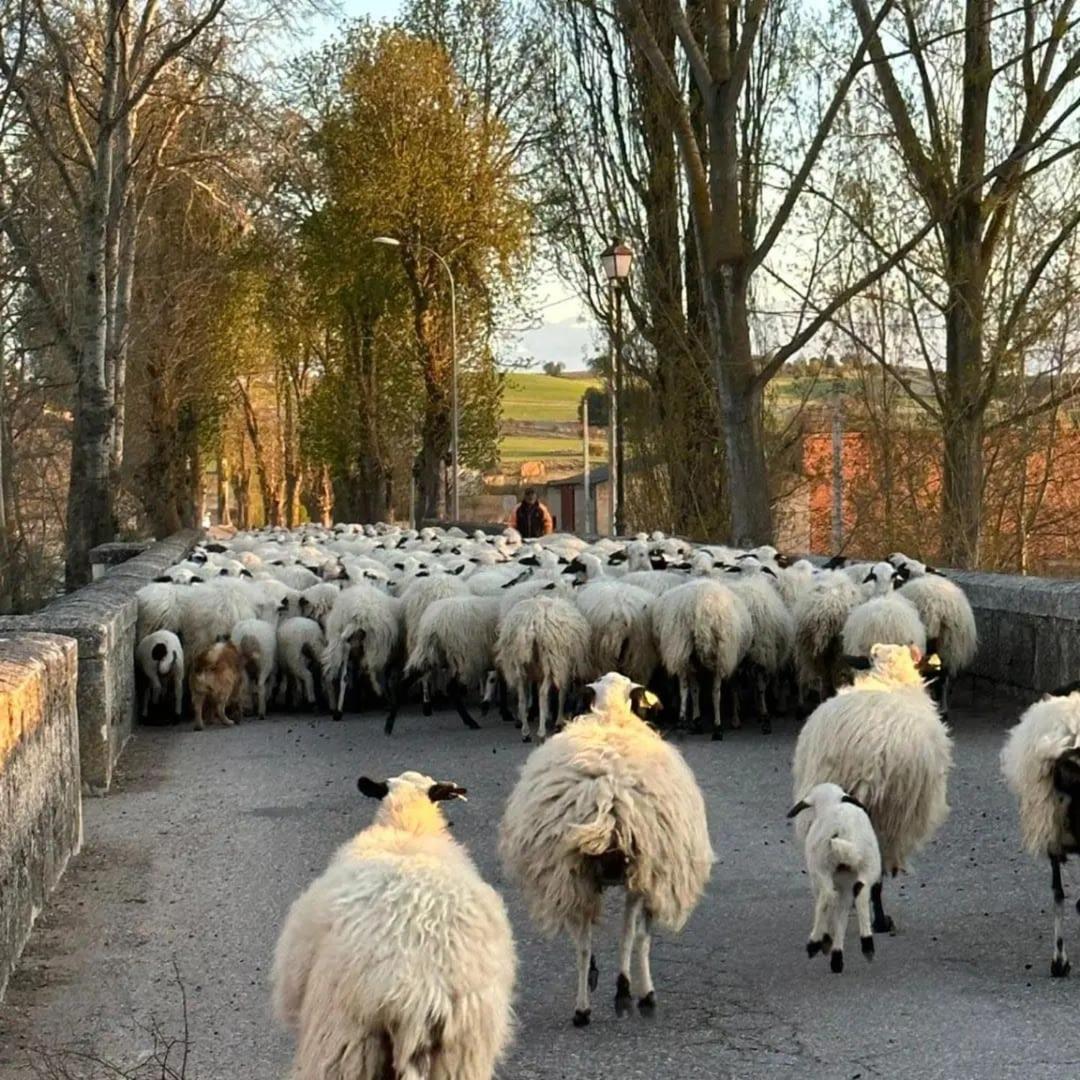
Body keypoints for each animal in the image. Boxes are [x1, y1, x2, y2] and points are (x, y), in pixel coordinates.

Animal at [498, 673, 717, 1028]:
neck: (611, 713)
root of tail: (609, 801)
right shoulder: (645, 877)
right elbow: (638, 936)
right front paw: (640, 992)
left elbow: (611, 938)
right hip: (633, 869)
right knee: (620, 936)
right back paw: (620, 993)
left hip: (573, 875)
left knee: (583, 944)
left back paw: (584, 1006)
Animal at [648, 578, 751, 738]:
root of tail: (699, 607)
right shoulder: (726, 661)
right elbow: (722, 691)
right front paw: (725, 722)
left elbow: (695, 690)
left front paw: (696, 720)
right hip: (716, 656)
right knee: (715, 692)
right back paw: (716, 726)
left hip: (682, 648)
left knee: (685, 688)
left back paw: (683, 720)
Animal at [790, 781, 881, 976]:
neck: (830, 802)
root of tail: (843, 829)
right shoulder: (845, 885)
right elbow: (841, 916)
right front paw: (836, 956)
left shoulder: (820, 881)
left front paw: (825, 941)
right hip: (869, 864)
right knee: (861, 893)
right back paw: (867, 944)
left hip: (821, 867)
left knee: (827, 896)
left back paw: (813, 943)